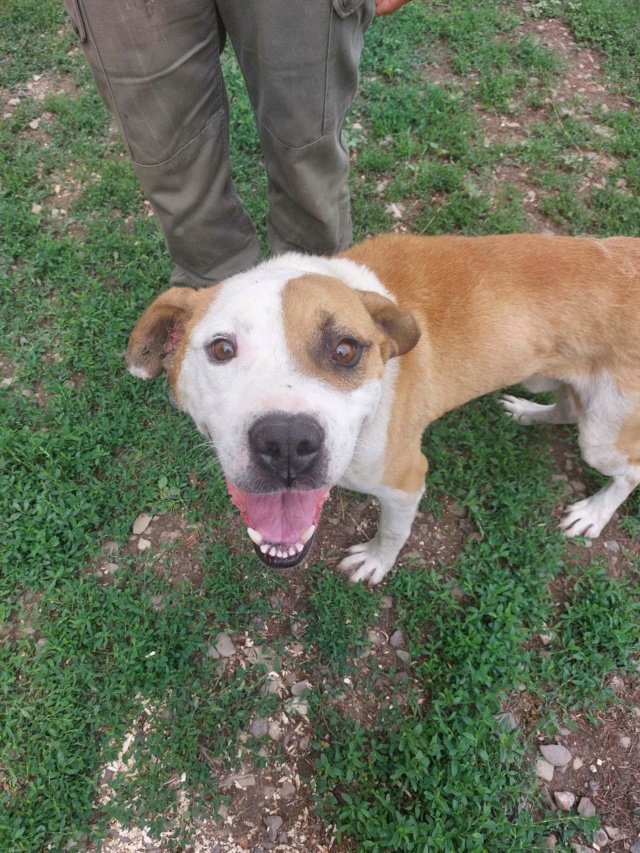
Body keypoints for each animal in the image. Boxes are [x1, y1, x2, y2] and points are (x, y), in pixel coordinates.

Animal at [126, 233, 640, 584]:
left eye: (345, 351)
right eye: (222, 349)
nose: (287, 442)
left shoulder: (406, 479)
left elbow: (393, 532)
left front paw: (375, 561)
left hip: (603, 434)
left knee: (627, 470)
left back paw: (594, 512)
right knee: (567, 406)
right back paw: (528, 412)